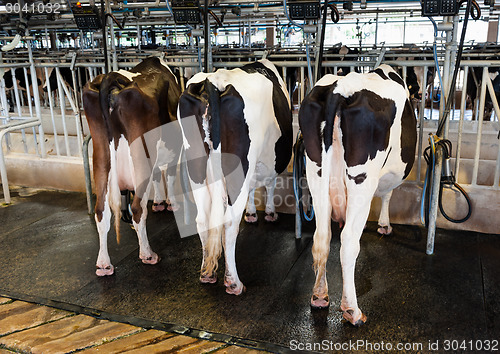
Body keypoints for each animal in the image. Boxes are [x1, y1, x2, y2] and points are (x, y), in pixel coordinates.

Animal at [82, 56, 182, 276]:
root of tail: (111, 78)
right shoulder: (175, 147)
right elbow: (170, 176)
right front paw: (171, 203)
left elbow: (158, 176)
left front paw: (159, 202)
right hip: (140, 156)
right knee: (137, 208)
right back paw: (148, 254)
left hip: (101, 158)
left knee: (101, 211)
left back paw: (103, 264)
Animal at [178, 59, 292, 294]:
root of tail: (213, 81)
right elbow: (270, 183)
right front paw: (269, 212)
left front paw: (252, 212)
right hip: (239, 166)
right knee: (229, 224)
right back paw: (234, 283)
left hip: (195, 167)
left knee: (202, 219)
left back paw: (207, 273)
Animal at [298, 64, 416, 326]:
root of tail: (340, 89)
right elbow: (388, 195)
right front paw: (384, 225)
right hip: (362, 178)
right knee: (349, 242)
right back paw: (352, 310)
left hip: (315, 173)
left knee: (322, 238)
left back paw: (319, 297)